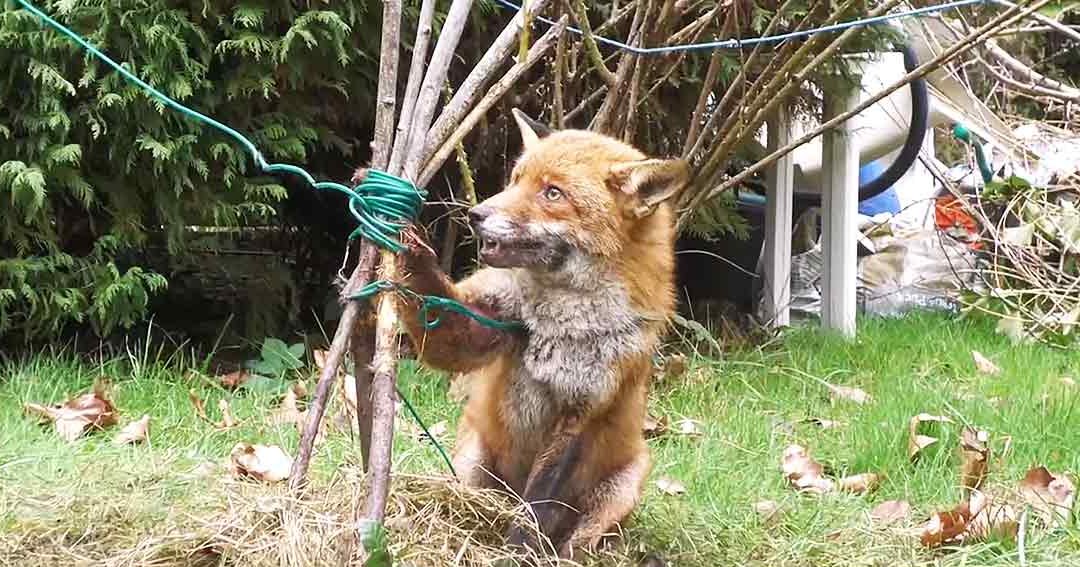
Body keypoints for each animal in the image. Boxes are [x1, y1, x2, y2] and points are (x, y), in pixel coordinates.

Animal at [393, 109, 688, 557]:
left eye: (553, 193)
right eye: (516, 179)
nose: (476, 215)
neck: (557, 323)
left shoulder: (581, 414)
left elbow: (536, 507)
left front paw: (516, 553)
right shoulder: (485, 325)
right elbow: (442, 326)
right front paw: (405, 240)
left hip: (625, 484)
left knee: (580, 540)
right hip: (472, 456)